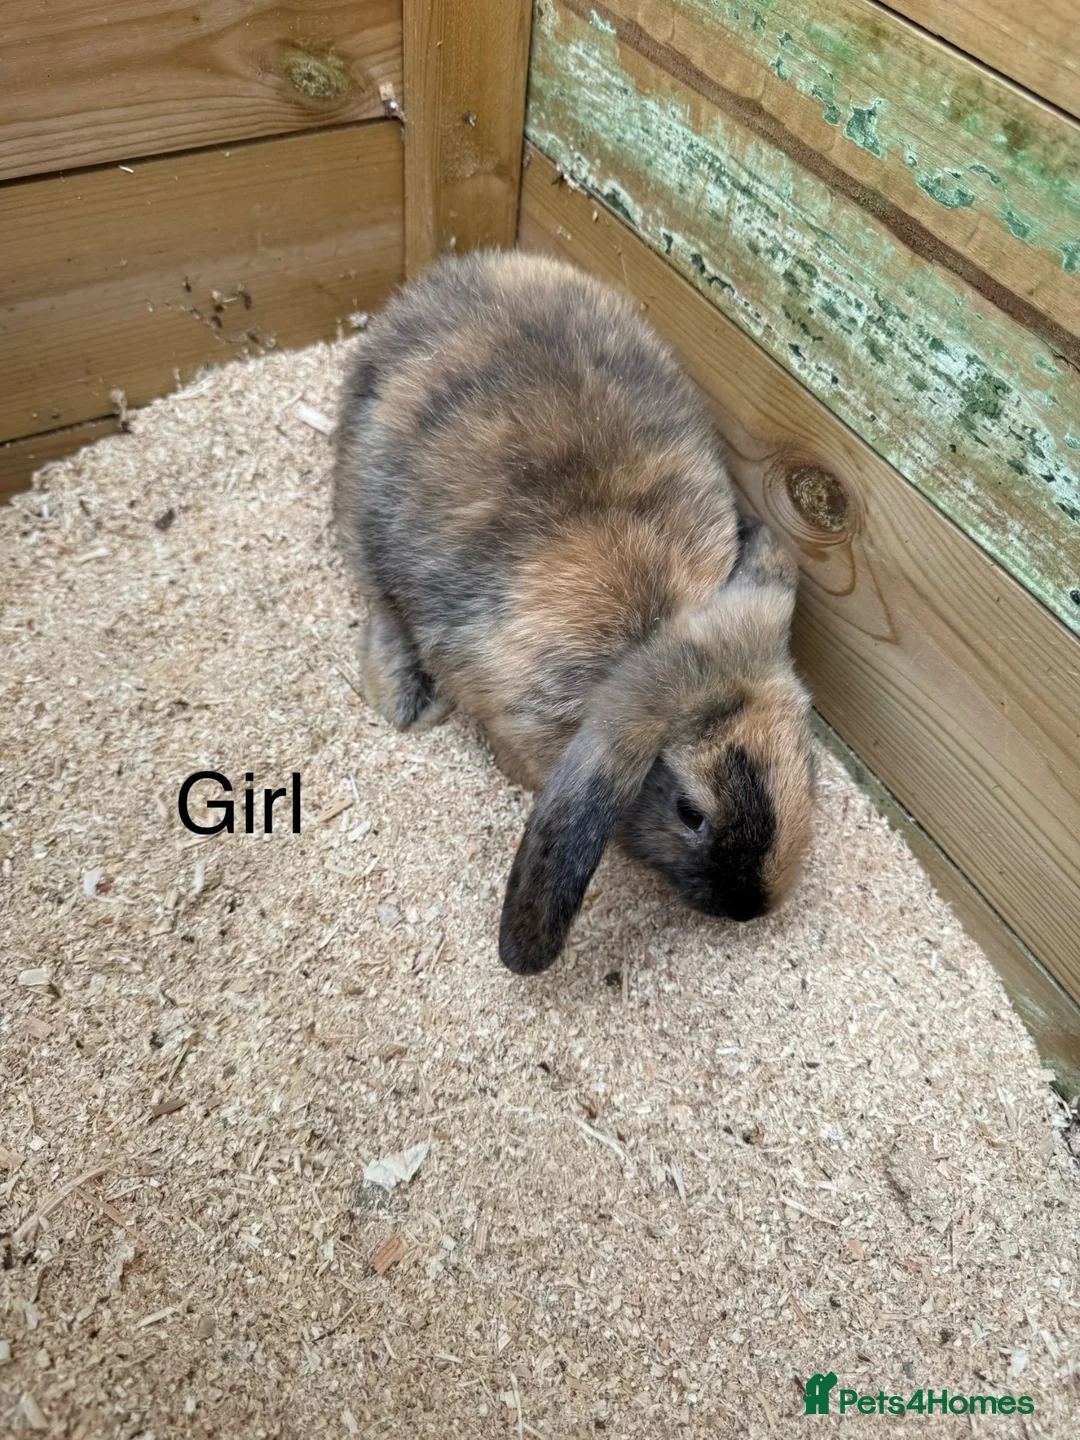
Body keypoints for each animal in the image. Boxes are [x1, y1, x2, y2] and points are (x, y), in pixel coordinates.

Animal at [333, 250, 815, 974]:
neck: (650, 635)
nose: (750, 908)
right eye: (689, 812)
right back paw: (404, 695)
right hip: (364, 501)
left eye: (806, 757)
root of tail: (442, 282)